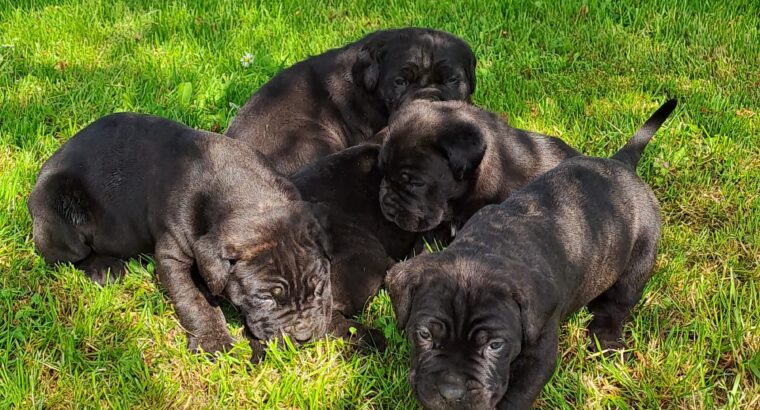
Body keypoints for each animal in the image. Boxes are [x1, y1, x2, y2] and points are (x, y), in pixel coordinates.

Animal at [29, 112, 332, 358]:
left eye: (319, 286)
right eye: (265, 298)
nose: (304, 337)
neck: (250, 197)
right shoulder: (174, 258)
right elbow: (194, 300)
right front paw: (213, 341)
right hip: (55, 212)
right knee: (68, 256)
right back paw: (103, 267)